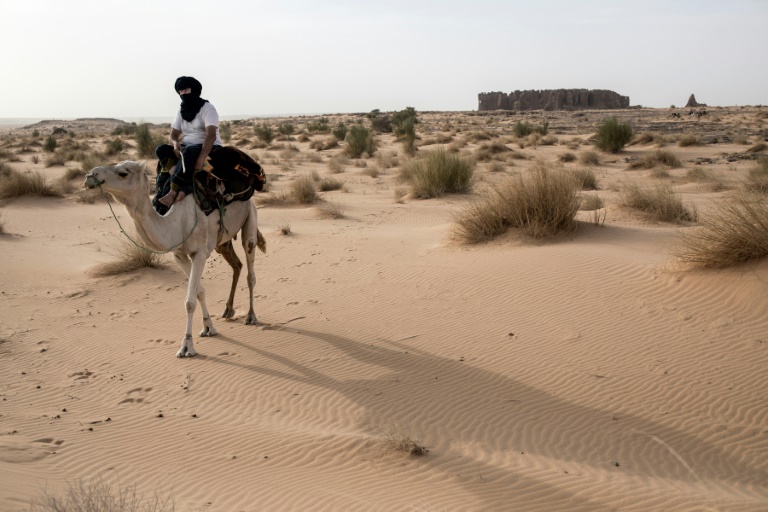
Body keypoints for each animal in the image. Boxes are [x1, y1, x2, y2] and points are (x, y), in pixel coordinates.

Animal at [83, 162, 264, 358]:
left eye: (123, 173)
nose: (89, 176)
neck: (178, 222)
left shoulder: (199, 253)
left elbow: (190, 302)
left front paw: (187, 346)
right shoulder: (179, 255)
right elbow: (199, 291)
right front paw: (208, 328)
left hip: (250, 219)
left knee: (250, 270)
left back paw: (251, 316)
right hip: (222, 242)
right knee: (237, 265)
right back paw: (228, 310)